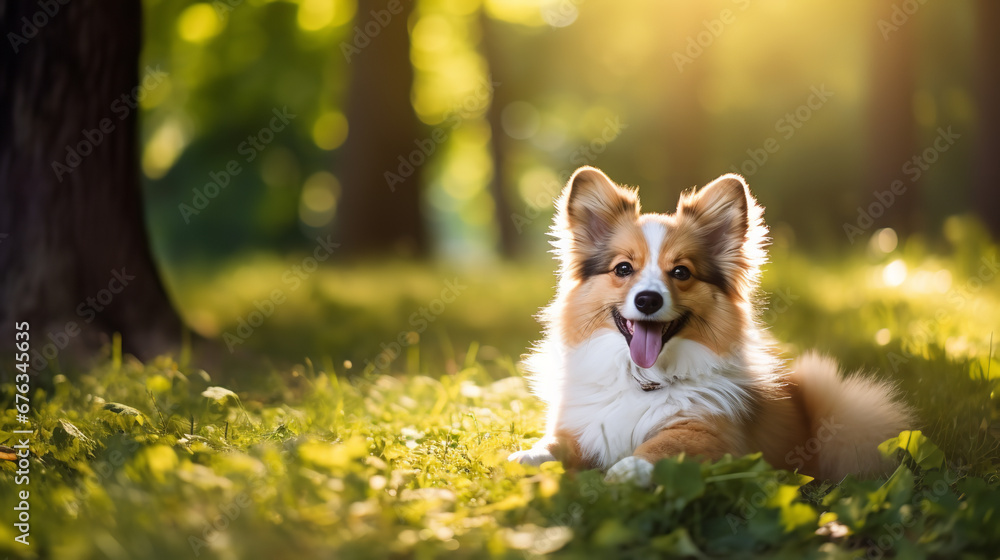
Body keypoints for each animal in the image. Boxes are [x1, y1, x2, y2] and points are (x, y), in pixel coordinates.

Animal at [512, 166, 912, 486]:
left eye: (681, 272)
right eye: (623, 268)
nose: (647, 300)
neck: (643, 381)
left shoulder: (708, 434)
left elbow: (660, 446)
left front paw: (624, 471)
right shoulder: (582, 426)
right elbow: (554, 444)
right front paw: (526, 456)